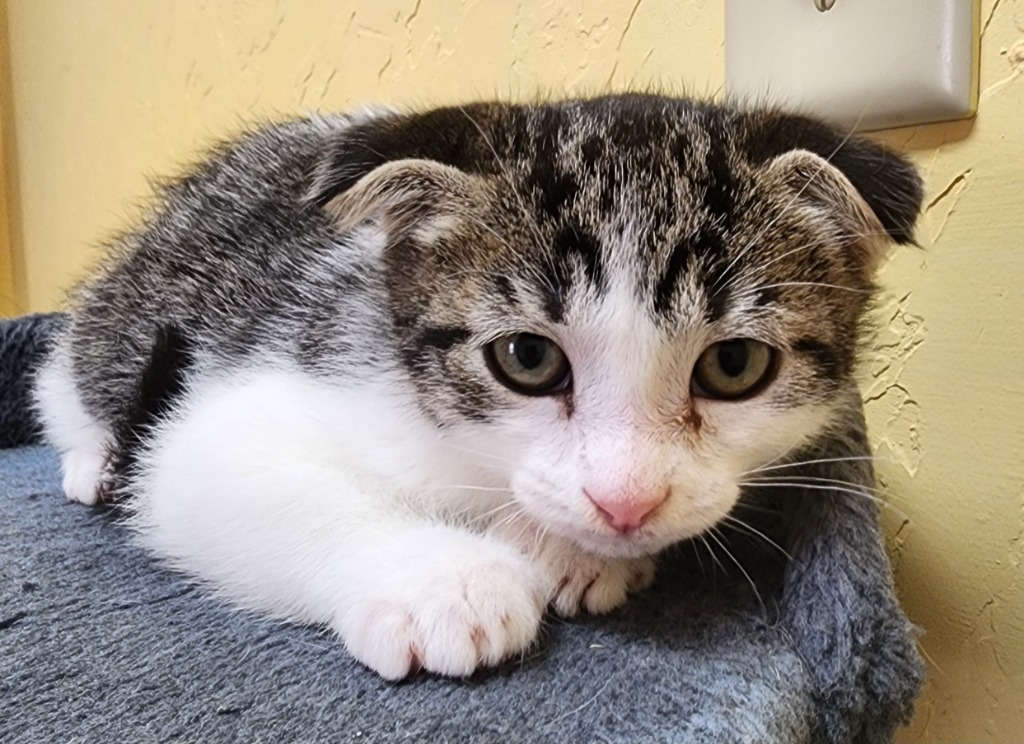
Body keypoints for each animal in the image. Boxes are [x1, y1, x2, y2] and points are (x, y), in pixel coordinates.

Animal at [37, 96, 921, 683]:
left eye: (733, 367)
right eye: (527, 358)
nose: (626, 502)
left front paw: (570, 549)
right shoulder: (287, 361)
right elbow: (208, 468)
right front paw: (448, 584)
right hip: (125, 314)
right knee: (67, 373)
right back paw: (87, 462)